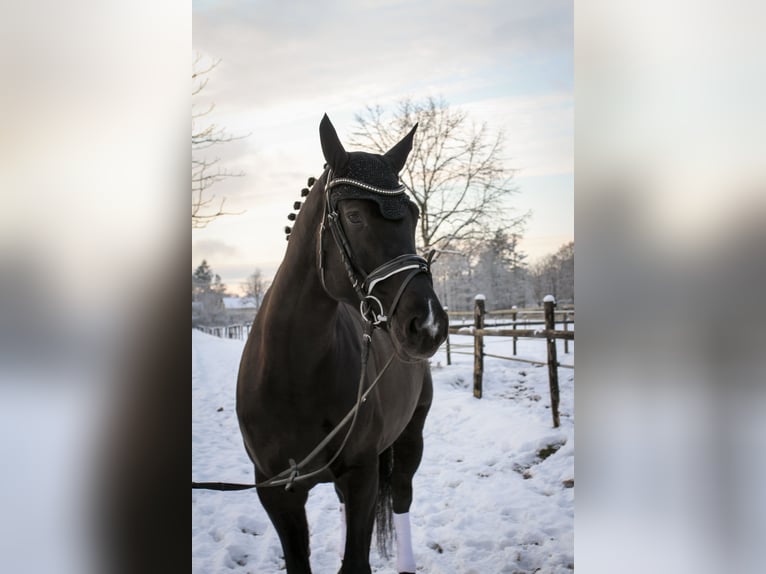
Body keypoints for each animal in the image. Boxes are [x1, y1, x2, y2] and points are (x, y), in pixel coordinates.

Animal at [237, 115, 448, 572]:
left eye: (412, 214)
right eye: (353, 215)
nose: (427, 324)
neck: (293, 374)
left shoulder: (362, 475)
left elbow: (356, 562)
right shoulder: (274, 490)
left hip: (410, 438)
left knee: (401, 497)